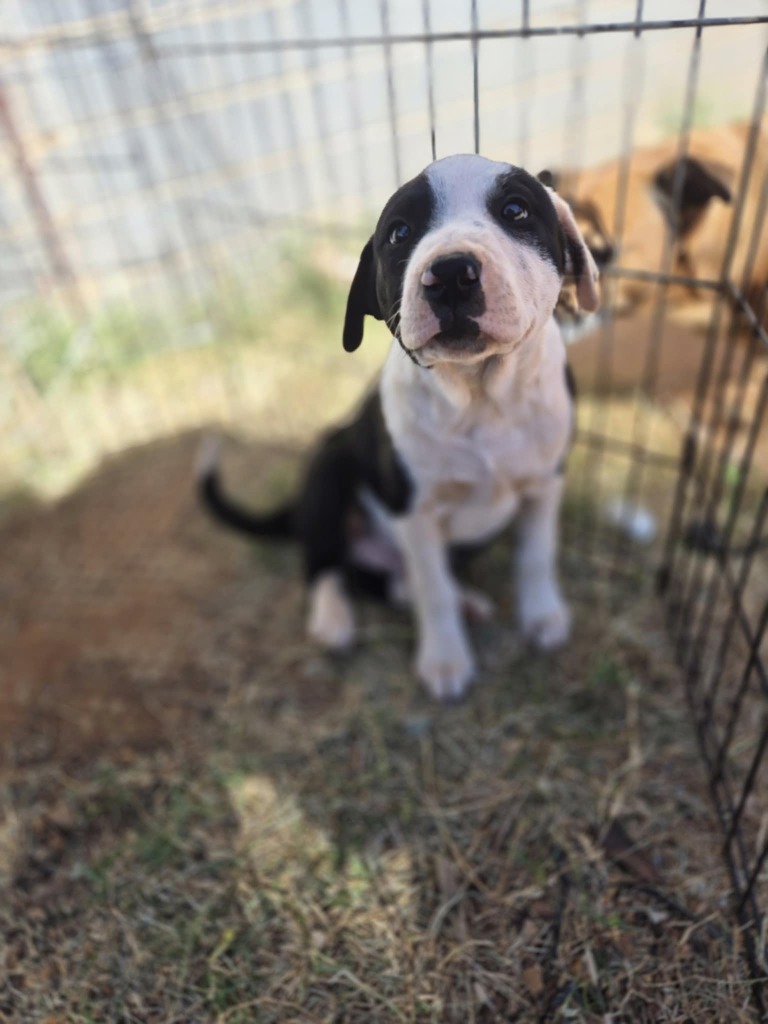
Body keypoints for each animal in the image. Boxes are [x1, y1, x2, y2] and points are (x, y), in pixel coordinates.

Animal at [199, 154, 599, 701]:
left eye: (516, 210)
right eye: (399, 233)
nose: (449, 273)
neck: (481, 399)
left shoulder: (545, 484)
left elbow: (536, 554)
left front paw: (542, 616)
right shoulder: (413, 511)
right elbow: (433, 590)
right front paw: (445, 660)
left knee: (385, 582)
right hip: (327, 473)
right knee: (327, 566)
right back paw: (333, 619)